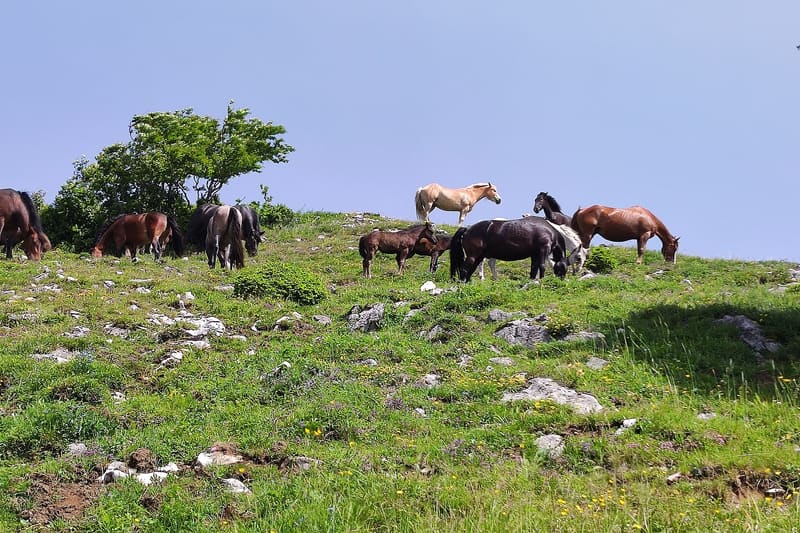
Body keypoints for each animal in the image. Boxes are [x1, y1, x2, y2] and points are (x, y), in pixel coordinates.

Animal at [449, 217, 578, 282]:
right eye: (562, 268)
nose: (561, 280)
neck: (549, 231)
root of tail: (467, 229)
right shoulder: (543, 250)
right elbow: (542, 266)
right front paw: (541, 280)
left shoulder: (535, 254)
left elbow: (533, 269)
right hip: (473, 256)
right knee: (464, 270)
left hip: (478, 257)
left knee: (470, 271)